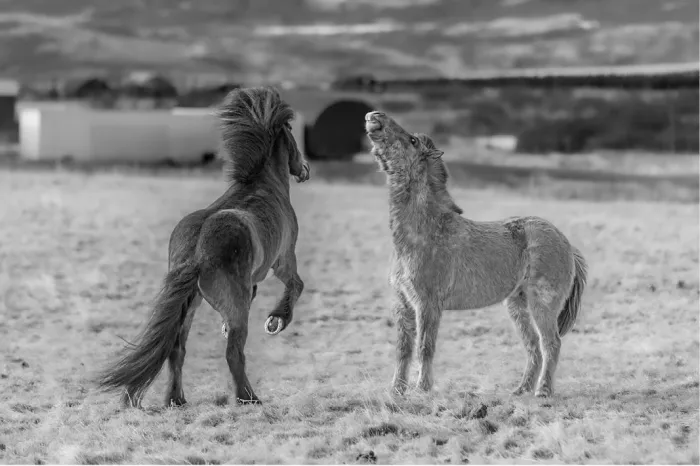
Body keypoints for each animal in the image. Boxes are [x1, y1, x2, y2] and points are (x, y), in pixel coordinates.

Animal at [97, 86, 310, 408]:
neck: (262, 185)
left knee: (176, 350)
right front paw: (277, 320)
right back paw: (248, 398)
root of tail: (196, 253)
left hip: (190, 305)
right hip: (230, 305)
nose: (304, 169)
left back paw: (177, 399)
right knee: (233, 352)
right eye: (293, 135)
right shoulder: (283, 259)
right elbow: (296, 284)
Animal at [364, 111, 587, 398]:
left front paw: (422, 389)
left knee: (550, 343)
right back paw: (521, 390)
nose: (374, 116)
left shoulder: (427, 305)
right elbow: (403, 349)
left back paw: (543, 392)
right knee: (533, 347)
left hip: (542, 304)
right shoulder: (403, 304)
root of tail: (566, 243)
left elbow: (425, 346)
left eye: (412, 140)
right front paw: (396, 391)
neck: (423, 230)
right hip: (517, 305)